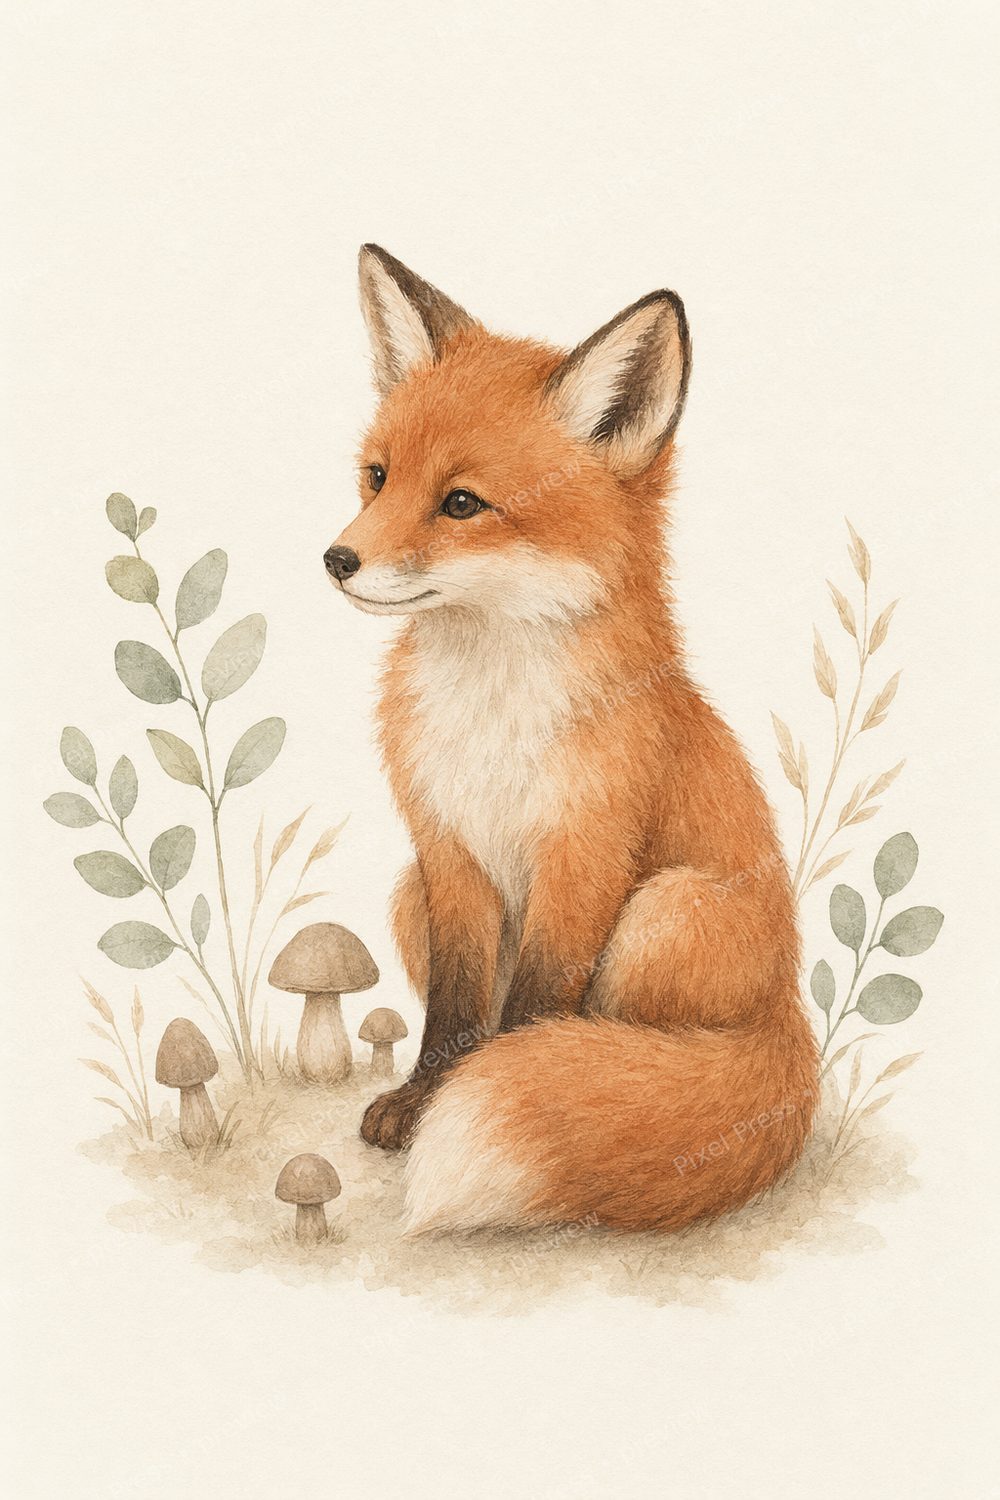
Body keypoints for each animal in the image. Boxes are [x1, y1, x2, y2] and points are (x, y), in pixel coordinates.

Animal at [324, 244, 819, 1235]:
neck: (490, 710)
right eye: (377, 478)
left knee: (628, 1038)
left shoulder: (583, 854)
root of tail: (789, 1024)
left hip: (665, 910)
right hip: (408, 895)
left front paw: (491, 1089)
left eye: (462, 503)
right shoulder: (447, 851)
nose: (337, 560)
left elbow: (532, 1011)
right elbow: (456, 1008)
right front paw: (423, 1099)